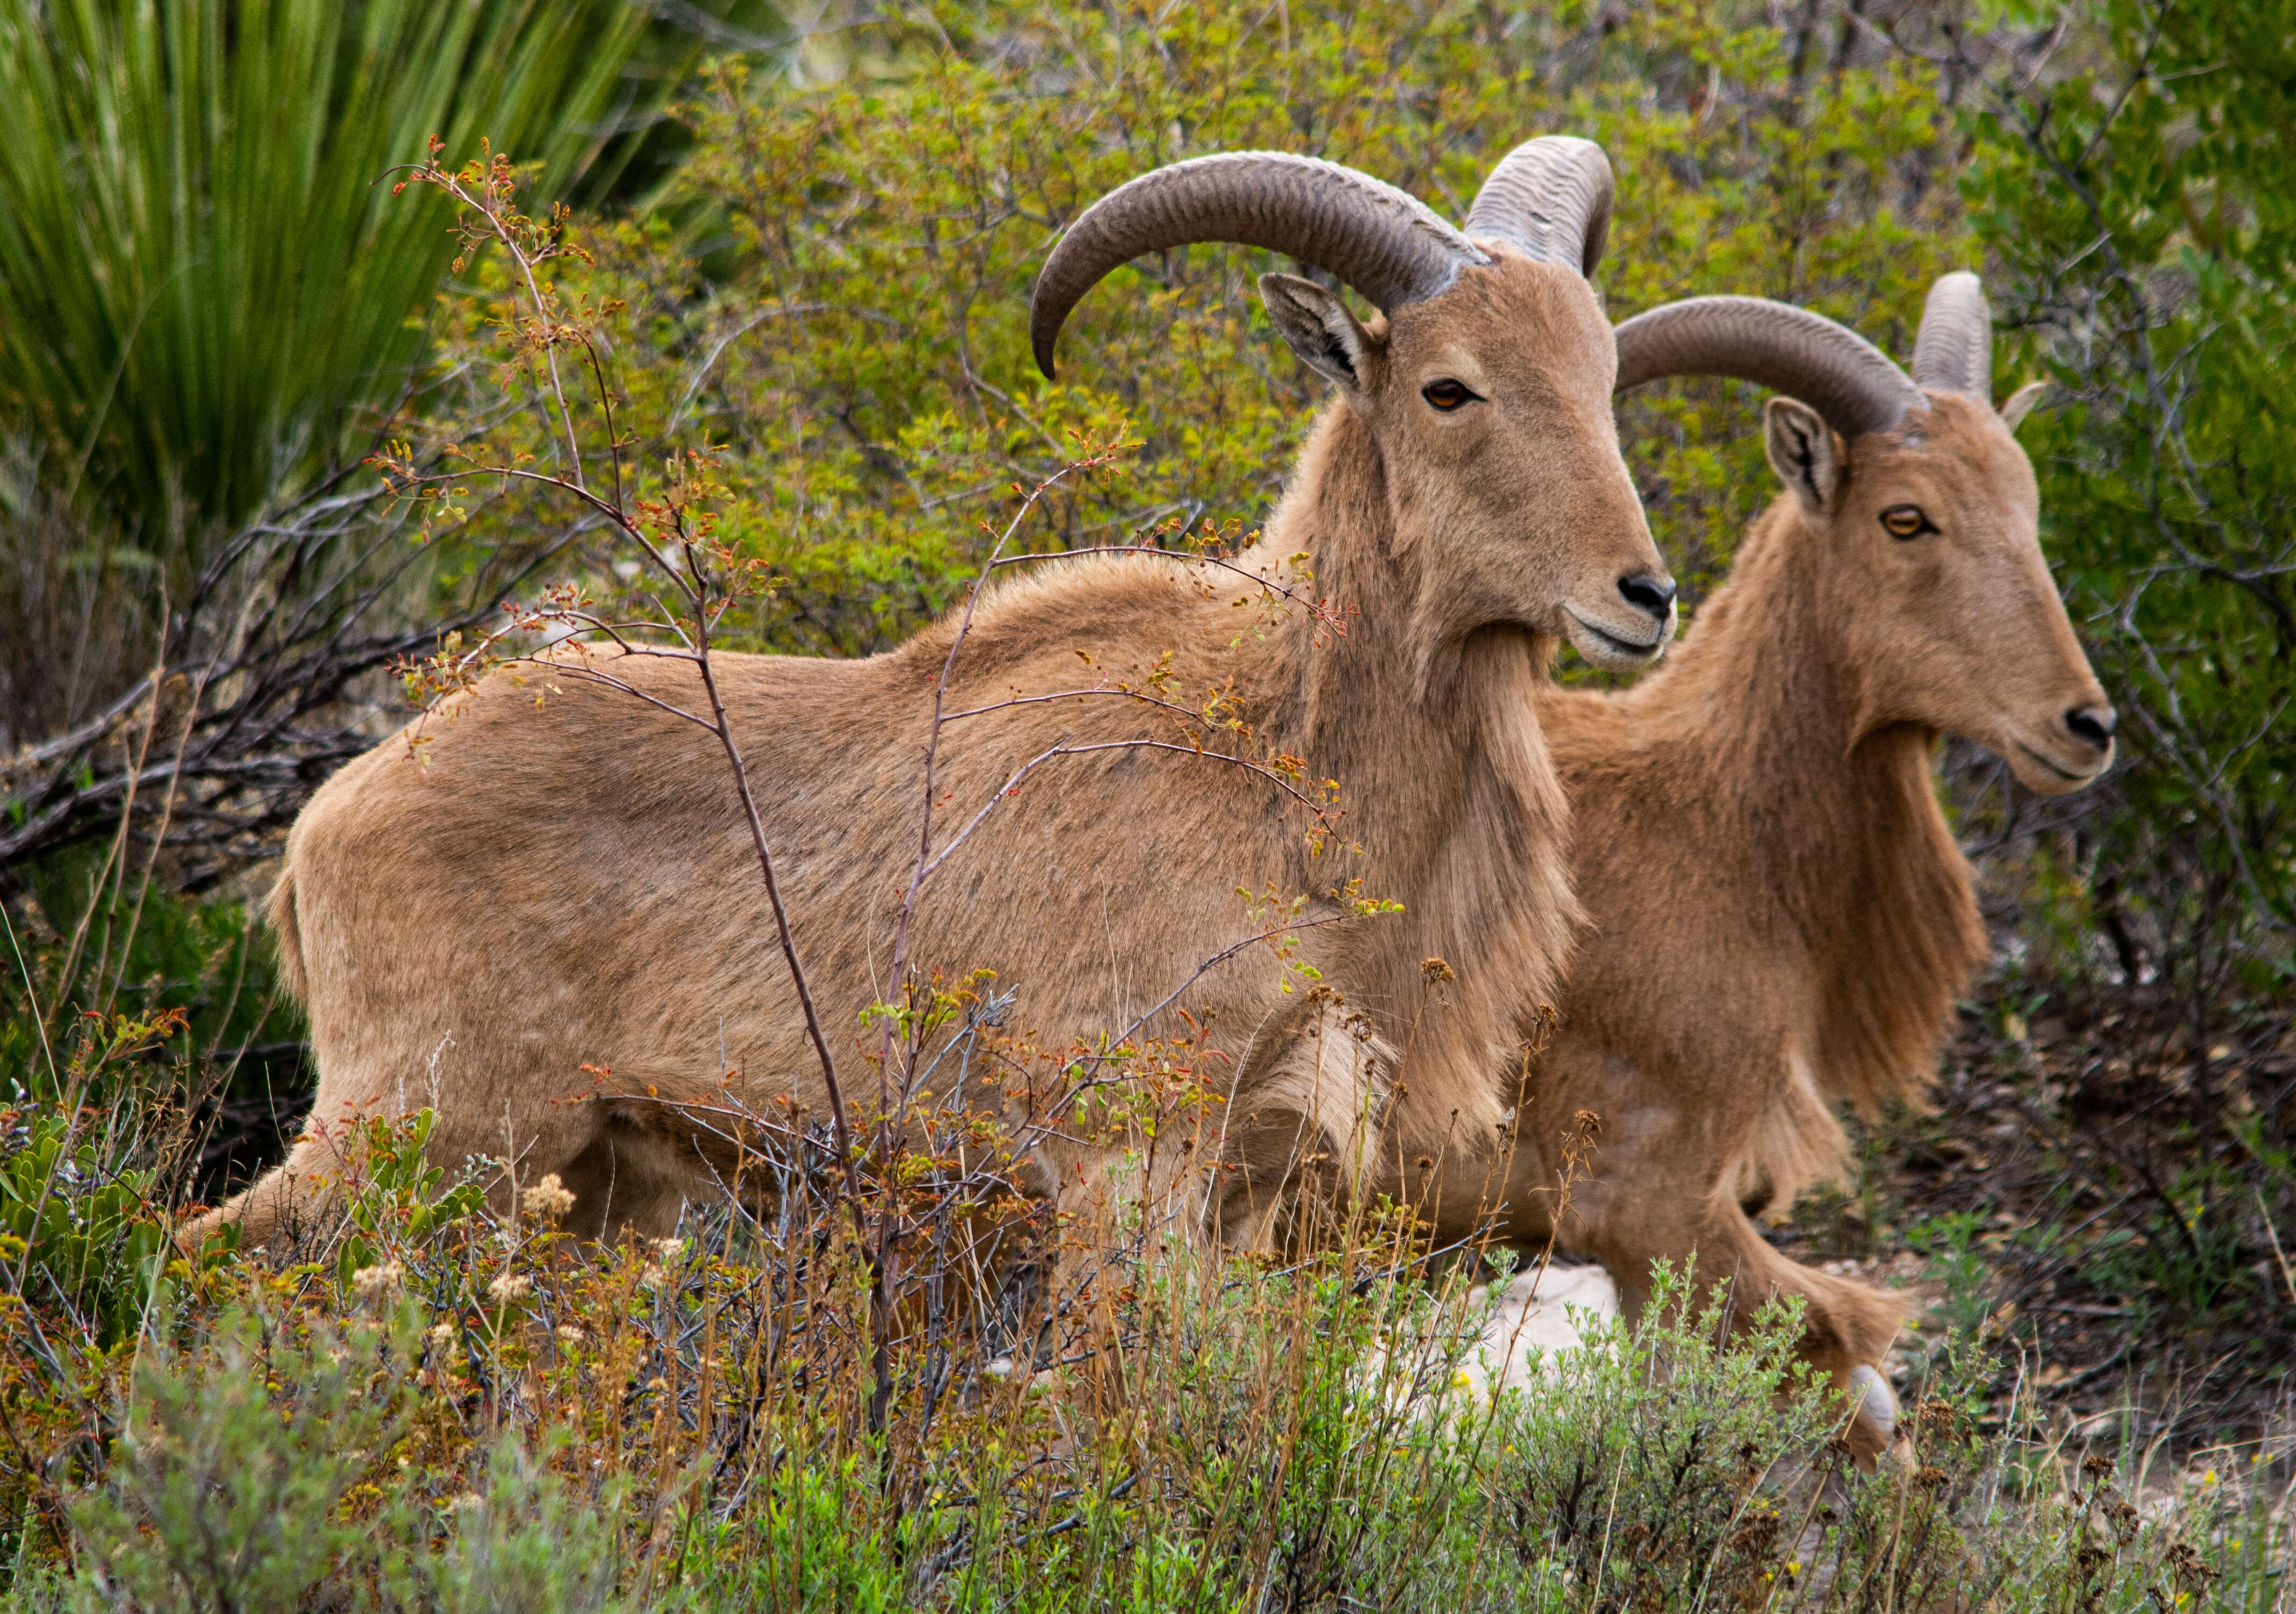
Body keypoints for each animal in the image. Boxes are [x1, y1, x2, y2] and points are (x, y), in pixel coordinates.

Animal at [188, 139, 1680, 1258]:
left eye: (1603, 382)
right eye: (1447, 388)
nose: (1643, 594)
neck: (1278, 758)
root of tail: (323, 823)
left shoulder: (1250, 1188)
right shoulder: (1125, 1158)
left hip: (590, 1178)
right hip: (423, 1131)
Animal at [1414, 274, 2112, 1451]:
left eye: (2024, 504)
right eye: (1905, 516)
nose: (2083, 724)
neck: (1715, 825)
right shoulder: (1649, 1202)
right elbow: (1847, 1378)